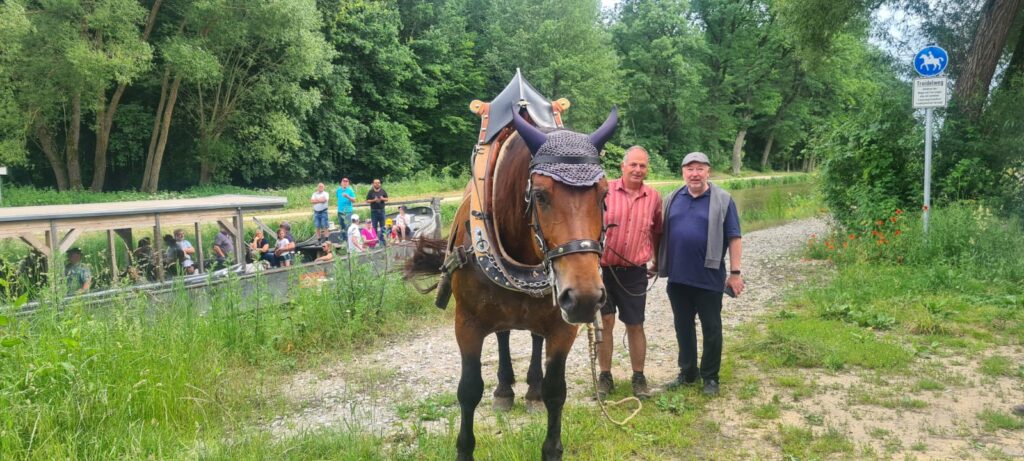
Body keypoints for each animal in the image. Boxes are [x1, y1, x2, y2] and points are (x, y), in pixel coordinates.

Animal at [407, 106, 614, 458]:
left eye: (603, 195)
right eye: (541, 196)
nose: (584, 297)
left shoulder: (563, 328)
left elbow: (556, 390)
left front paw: (550, 437)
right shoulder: (467, 323)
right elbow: (469, 390)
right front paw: (464, 448)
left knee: (533, 338)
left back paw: (531, 390)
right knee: (503, 335)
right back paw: (505, 389)